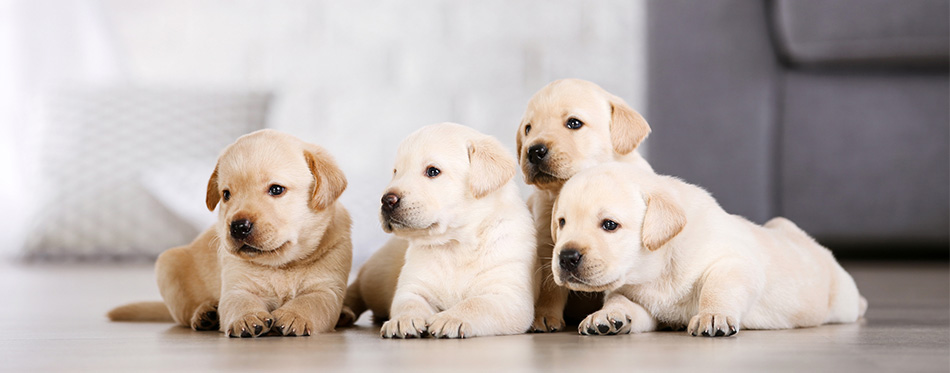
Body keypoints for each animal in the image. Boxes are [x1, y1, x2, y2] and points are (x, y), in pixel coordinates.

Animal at [107, 129, 354, 336]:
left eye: (276, 189)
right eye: (226, 194)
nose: (238, 226)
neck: (281, 265)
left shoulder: (327, 289)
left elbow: (310, 302)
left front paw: (294, 315)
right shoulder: (237, 287)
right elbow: (240, 302)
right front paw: (248, 317)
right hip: (168, 266)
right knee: (184, 314)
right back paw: (204, 315)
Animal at [342, 122, 540, 338]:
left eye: (433, 171)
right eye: (396, 172)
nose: (387, 200)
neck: (455, 245)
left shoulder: (509, 296)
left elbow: (476, 303)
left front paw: (451, 317)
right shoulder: (413, 287)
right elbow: (408, 302)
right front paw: (403, 320)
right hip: (375, 275)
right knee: (356, 289)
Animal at [516, 78, 660, 332]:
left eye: (574, 123)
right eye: (528, 128)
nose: (534, 151)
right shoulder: (547, 245)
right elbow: (550, 287)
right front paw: (545, 315)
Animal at [552, 161, 872, 336]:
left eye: (609, 225)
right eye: (562, 222)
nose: (566, 257)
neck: (657, 268)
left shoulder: (733, 263)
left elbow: (718, 287)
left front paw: (713, 315)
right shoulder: (637, 296)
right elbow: (621, 301)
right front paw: (606, 316)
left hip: (840, 301)